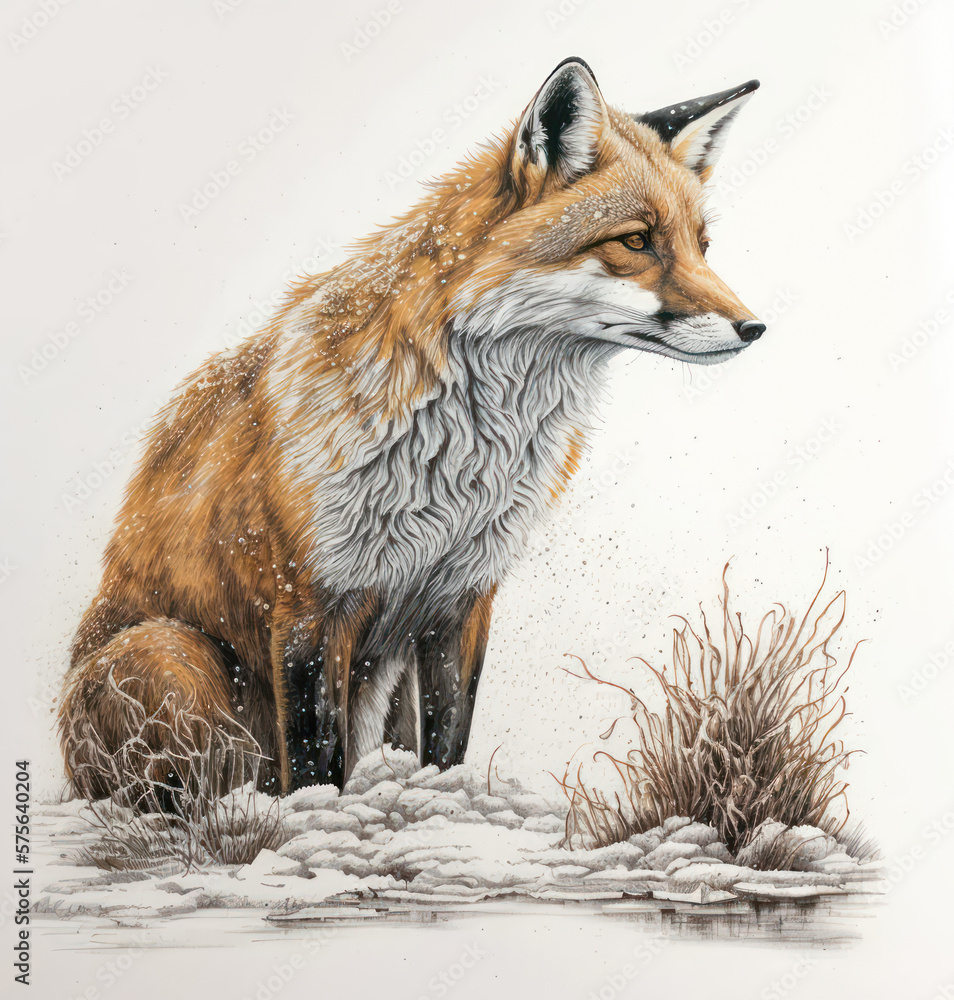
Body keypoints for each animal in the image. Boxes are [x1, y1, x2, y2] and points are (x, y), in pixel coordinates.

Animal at [59, 58, 765, 801]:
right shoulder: (310, 604)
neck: (464, 455)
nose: (754, 327)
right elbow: (314, 768)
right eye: (635, 241)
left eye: (702, 246)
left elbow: (447, 743)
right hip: (172, 653)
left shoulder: (459, 600)